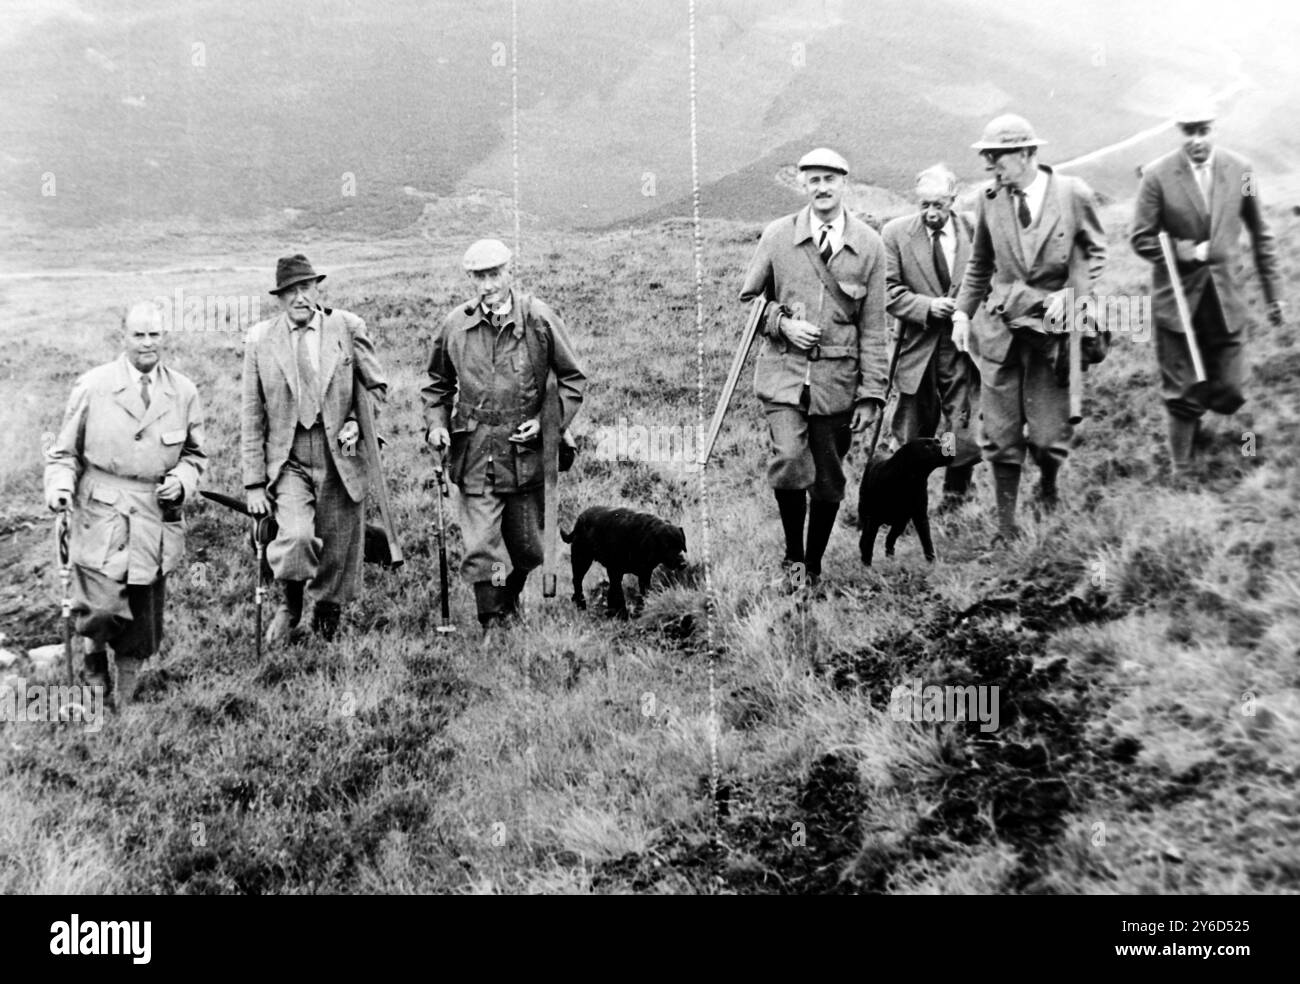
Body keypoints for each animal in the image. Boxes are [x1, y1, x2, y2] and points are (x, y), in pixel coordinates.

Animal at [857, 439, 951, 569]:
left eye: (938, 441)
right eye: (927, 446)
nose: (949, 449)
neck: (909, 481)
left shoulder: (919, 517)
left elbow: (927, 541)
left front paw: (932, 563)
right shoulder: (873, 520)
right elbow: (868, 543)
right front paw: (867, 566)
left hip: (900, 523)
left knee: (889, 540)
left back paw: (891, 561)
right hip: (866, 514)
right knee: (865, 539)